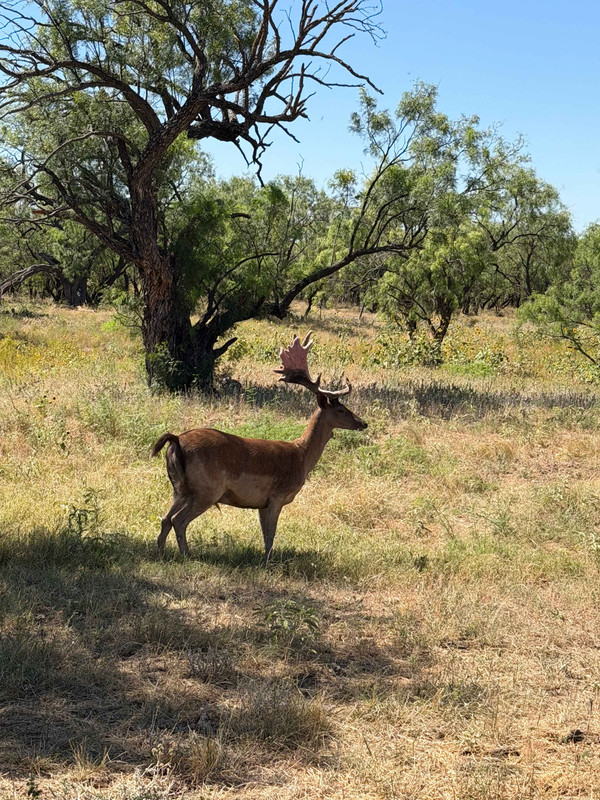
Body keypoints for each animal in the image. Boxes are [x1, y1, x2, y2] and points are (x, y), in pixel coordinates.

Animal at [151, 332, 368, 565]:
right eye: (341, 409)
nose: (363, 423)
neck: (301, 457)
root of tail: (176, 441)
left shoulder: (262, 503)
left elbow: (265, 533)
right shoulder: (277, 495)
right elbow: (271, 534)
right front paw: (266, 563)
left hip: (179, 488)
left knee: (165, 518)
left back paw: (161, 554)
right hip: (206, 489)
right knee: (178, 520)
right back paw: (187, 556)